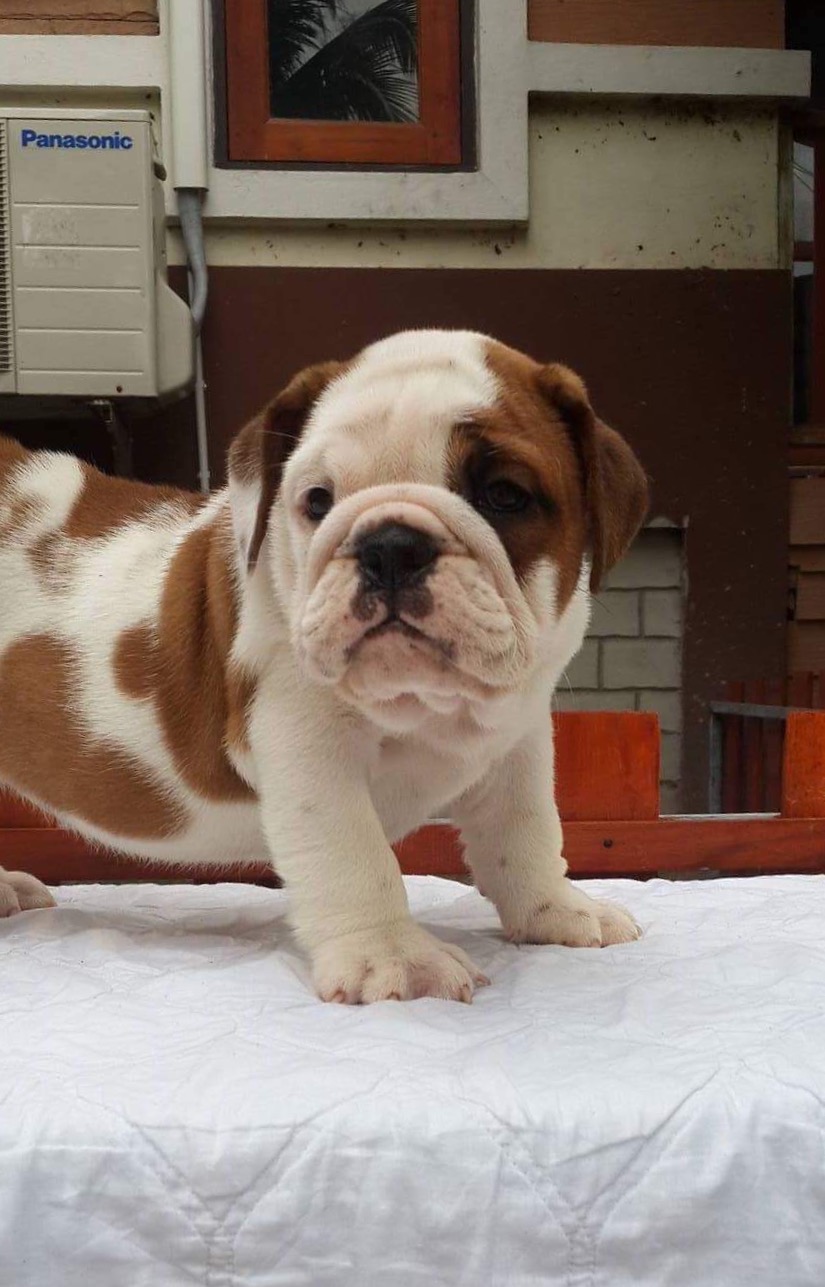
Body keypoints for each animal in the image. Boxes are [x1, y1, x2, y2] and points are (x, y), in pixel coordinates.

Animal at [0, 330, 648, 1003]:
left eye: (504, 494)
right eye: (318, 501)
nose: (390, 545)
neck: (424, 702)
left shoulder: (518, 734)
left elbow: (525, 827)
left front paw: (557, 911)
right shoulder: (307, 741)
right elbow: (353, 852)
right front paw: (393, 957)